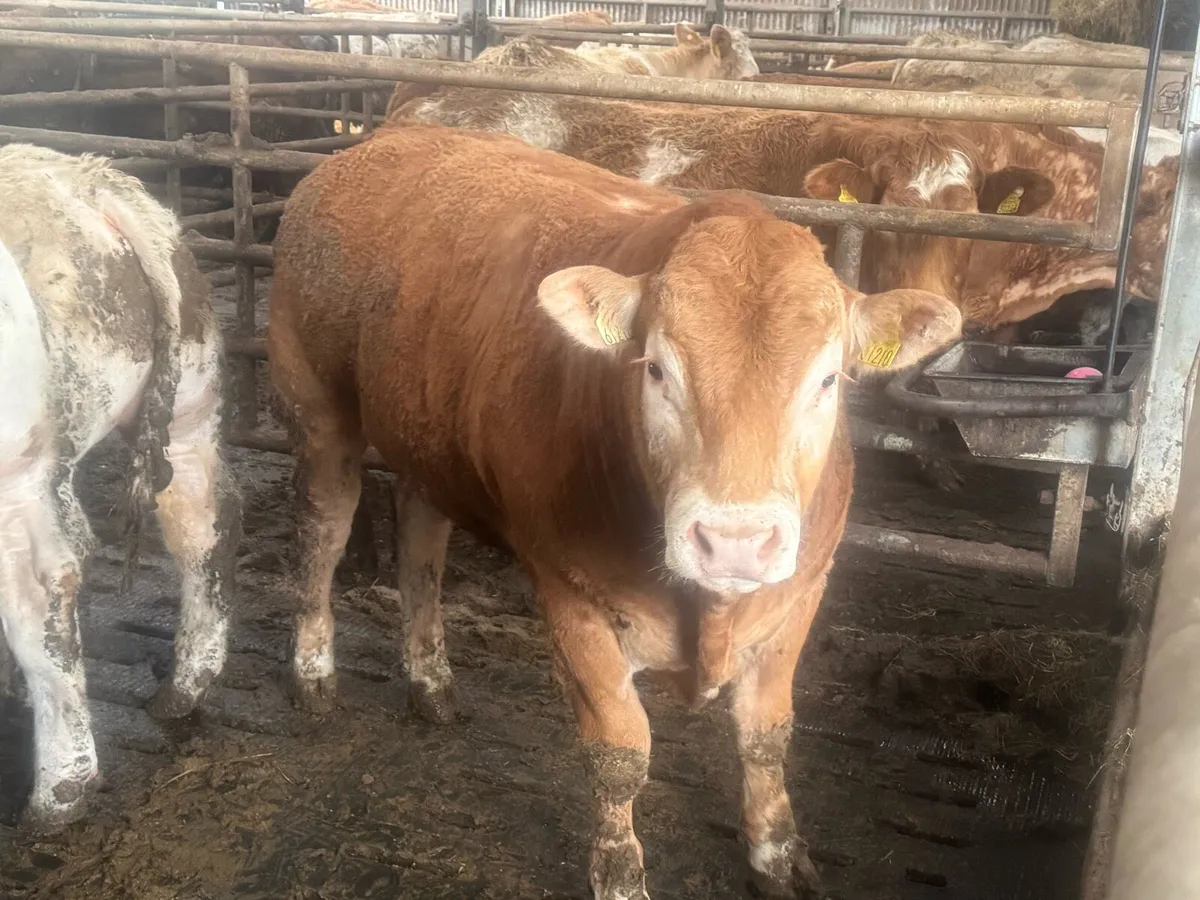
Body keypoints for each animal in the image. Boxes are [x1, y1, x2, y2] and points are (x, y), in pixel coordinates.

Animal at [0, 145, 240, 830]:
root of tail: (87, 182)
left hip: (23, 468)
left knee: (45, 588)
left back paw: (62, 789)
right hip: (186, 405)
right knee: (203, 520)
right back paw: (183, 688)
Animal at [267, 122, 963, 899]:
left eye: (828, 379)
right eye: (655, 369)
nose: (735, 541)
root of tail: (372, 144)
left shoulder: (798, 596)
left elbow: (766, 735)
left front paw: (779, 854)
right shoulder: (572, 599)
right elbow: (619, 753)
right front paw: (620, 872)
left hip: (426, 434)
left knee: (421, 542)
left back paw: (431, 680)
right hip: (317, 408)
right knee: (321, 534)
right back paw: (313, 672)